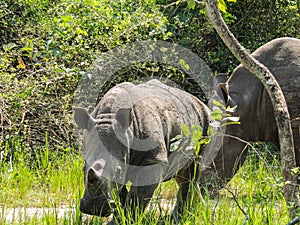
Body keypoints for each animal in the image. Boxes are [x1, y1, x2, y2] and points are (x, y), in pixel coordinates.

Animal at [73, 78, 210, 218]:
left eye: (118, 171)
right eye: (83, 169)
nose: (93, 209)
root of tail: (199, 101)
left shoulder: (151, 160)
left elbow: (137, 197)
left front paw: (128, 219)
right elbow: (121, 195)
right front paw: (120, 218)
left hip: (206, 121)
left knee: (194, 171)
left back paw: (179, 217)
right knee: (183, 174)